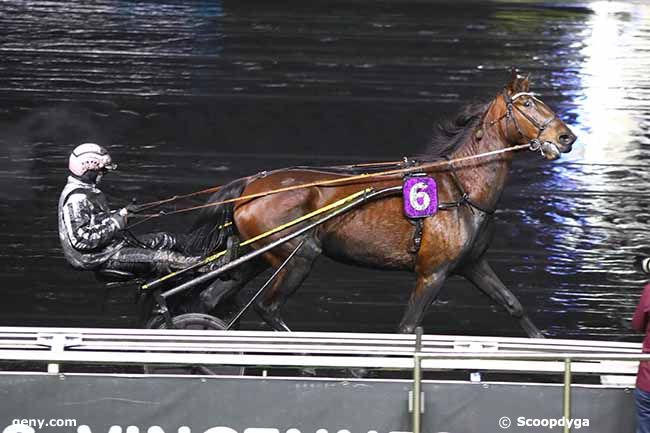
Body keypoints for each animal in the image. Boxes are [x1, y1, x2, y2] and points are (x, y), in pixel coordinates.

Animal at [185, 73, 576, 334]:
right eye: (526, 103)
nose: (566, 136)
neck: (460, 188)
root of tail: (251, 185)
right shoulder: (432, 273)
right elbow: (407, 327)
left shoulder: (472, 264)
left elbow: (513, 305)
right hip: (297, 255)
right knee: (268, 307)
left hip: (259, 257)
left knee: (213, 298)